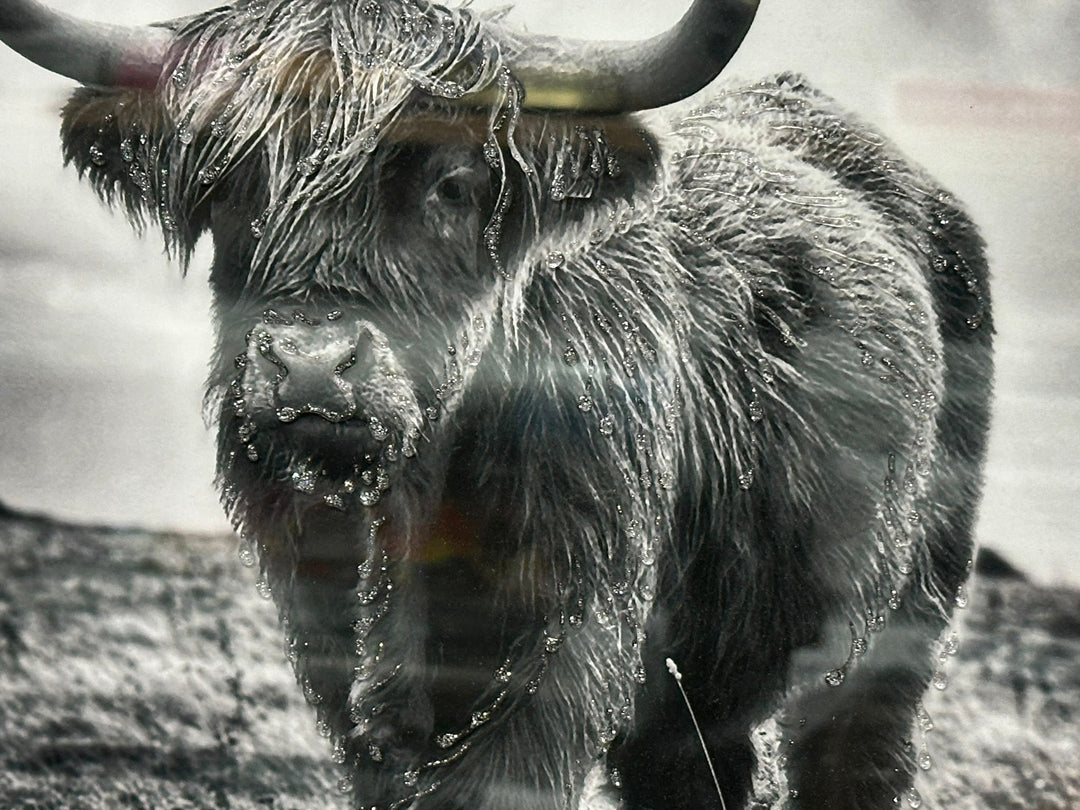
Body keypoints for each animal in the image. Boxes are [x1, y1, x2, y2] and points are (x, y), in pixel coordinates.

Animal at [0, 1, 993, 808]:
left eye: (453, 182)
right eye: (229, 191)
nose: (312, 371)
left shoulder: (566, 648)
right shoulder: (340, 666)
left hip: (902, 625)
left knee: (855, 756)